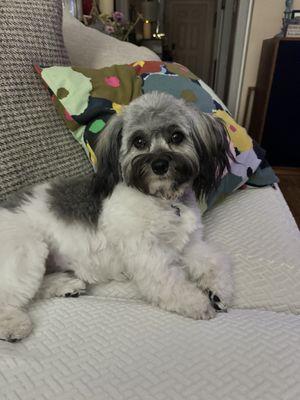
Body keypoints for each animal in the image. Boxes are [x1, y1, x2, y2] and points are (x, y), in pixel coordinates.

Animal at [0, 92, 234, 342]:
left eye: (176, 136)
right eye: (139, 142)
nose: (160, 164)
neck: (161, 200)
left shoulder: (190, 244)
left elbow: (214, 262)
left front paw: (218, 291)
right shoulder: (147, 254)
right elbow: (169, 282)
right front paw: (197, 303)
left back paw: (65, 285)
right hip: (27, 250)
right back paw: (14, 325)